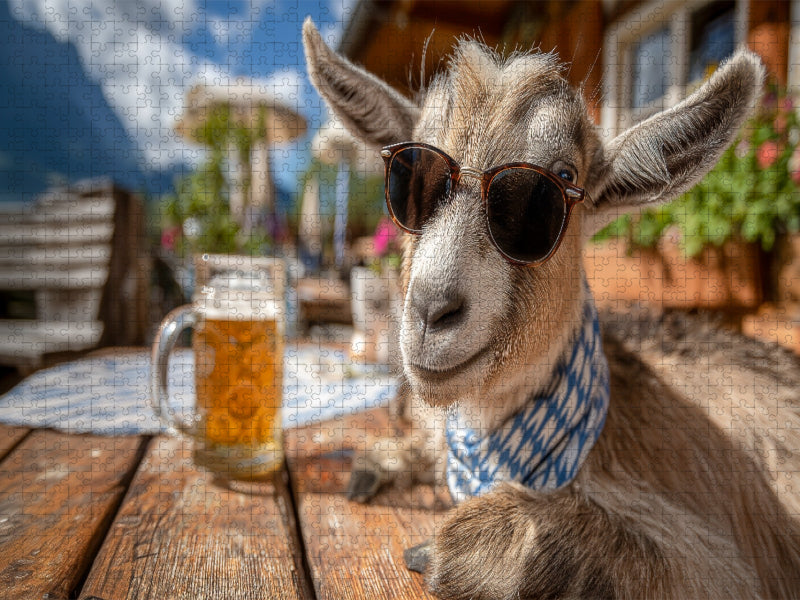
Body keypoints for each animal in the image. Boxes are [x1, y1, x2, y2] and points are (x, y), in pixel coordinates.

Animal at [303, 19, 800, 599]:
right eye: (410, 175)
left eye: (557, 182)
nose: (429, 311)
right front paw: (383, 461)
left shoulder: (733, 567)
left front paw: (460, 546)